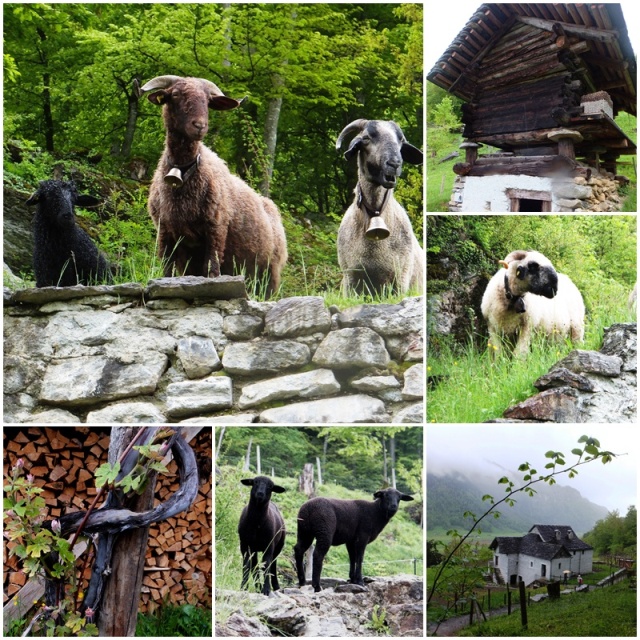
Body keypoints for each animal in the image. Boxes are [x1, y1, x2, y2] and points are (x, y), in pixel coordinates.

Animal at [138, 76, 288, 296]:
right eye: (175, 94)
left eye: (208, 101)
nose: (199, 125)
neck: (183, 173)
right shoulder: (166, 234)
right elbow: (167, 273)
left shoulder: (216, 229)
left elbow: (212, 271)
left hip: (270, 272)